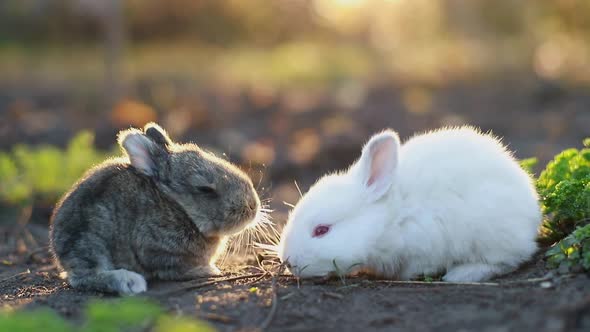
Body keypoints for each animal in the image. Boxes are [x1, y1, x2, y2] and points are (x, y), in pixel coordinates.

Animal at [51, 123, 262, 294]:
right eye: (205, 189)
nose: (253, 206)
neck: (177, 205)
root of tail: (58, 246)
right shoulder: (154, 249)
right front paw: (208, 270)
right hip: (91, 242)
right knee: (83, 278)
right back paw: (130, 282)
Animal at [280, 126, 544, 282]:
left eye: (321, 230)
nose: (288, 261)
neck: (391, 217)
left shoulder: (426, 243)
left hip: (490, 233)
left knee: (509, 259)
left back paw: (461, 275)